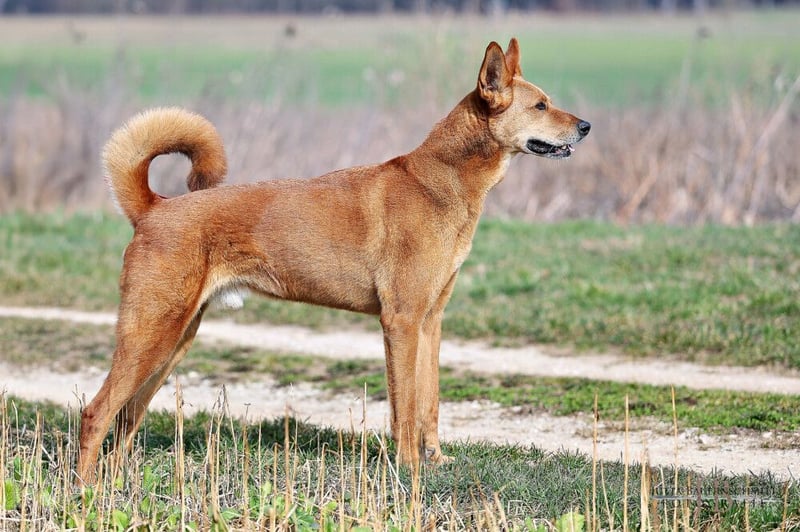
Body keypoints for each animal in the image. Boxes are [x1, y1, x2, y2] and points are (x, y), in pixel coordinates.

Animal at [76, 37, 590, 484]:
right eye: (540, 106)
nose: (586, 126)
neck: (439, 182)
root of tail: (155, 208)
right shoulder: (401, 322)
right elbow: (405, 408)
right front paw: (408, 469)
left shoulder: (430, 322)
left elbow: (429, 402)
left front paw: (435, 461)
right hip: (152, 333)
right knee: (95, 412)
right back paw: (84, 490)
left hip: (173, 341)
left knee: (125, 418)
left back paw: (116, 484)